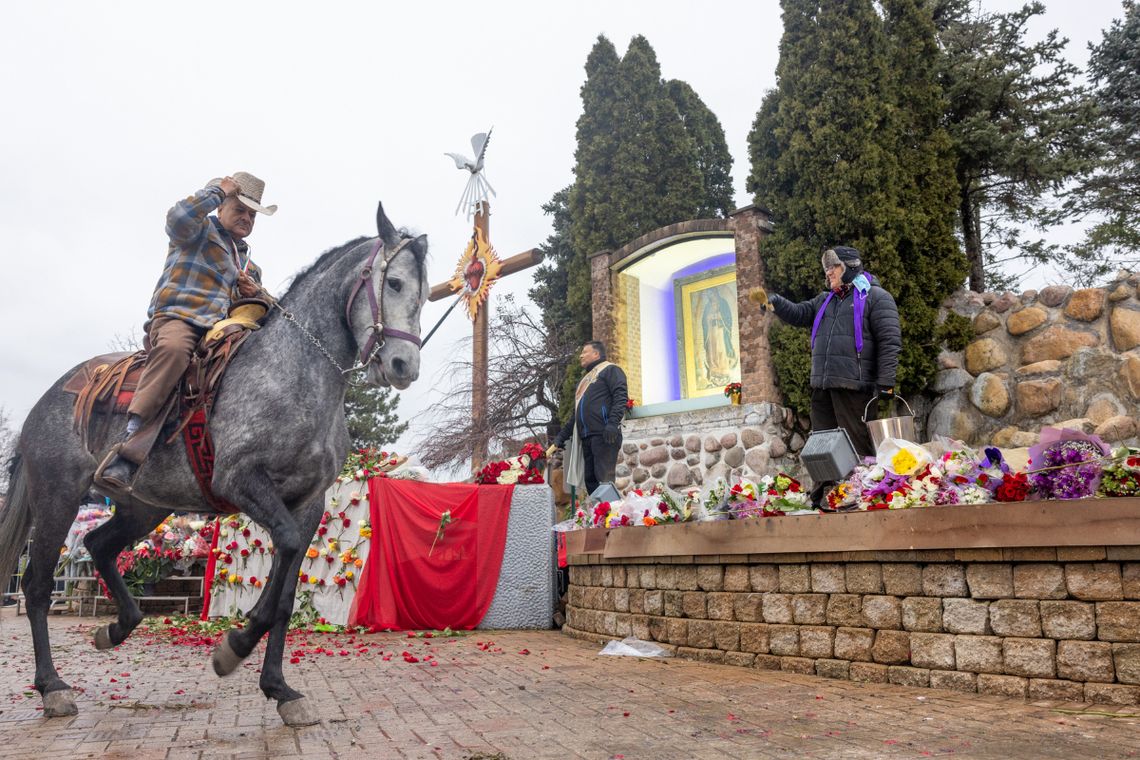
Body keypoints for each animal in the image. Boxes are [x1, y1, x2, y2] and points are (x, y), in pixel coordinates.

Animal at [0, 201, 428, 724]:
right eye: (395, 283)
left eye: (425, 291)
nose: (405, 366)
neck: (296, 373)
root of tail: (44, 401)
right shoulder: (241, 481)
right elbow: (284, 549)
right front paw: (234, 647)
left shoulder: (307, 502)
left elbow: (286, 594)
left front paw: (280, 688)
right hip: (57, 497)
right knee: (38, 585)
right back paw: (53, 687)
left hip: (144, 507)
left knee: (99, 546)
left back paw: (117, 628)